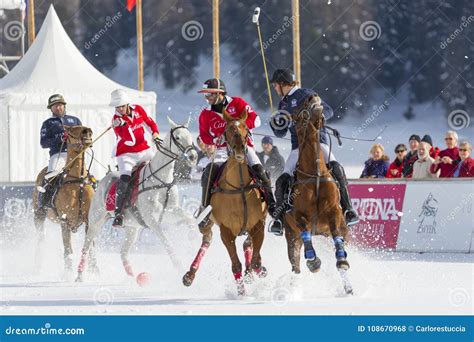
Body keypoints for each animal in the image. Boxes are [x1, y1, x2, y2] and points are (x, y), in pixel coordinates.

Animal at [32, 125, 97, 276]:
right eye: (72, 131)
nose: (87, 132)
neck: (78, 180)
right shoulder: (65, 221)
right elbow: (68, 251)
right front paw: (67, 275)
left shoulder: (89, 221)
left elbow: (89, 249)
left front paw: (94, 272)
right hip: (39, 215)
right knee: (40, 240)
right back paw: (37, 268)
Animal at [76, 116, 198, 282]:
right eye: (178, 137)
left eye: (190, 136)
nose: (193, 157)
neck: (161, 180)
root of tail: (102, 180)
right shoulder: (152, 219)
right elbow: (166, 242)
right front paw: (178, 266)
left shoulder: (170, 211)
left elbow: (190, 218)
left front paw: (193, 238)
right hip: (95, 221)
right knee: (86, 247)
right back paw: (79, 276)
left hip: (132, 228)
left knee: (123, 252)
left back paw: (135, 278)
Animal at [183, 110, 268, 296]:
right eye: (228, 130)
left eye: (246, 128)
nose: (240, 149)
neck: (240, 187)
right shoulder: (226, 232)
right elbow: (235, 264)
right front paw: (242, 294)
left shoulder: (258, 225)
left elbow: (255, 259)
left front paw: (256, 271)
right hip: (208, 221)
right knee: (206, 240)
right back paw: (190, 274)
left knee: (247, 245)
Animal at [282, 96, 352, 294]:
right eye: (297, 109)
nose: (312, 97)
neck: (315, 173)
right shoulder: (298, 216)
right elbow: (306, 233)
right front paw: (313, 261)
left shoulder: (334, 213)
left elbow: (338, 245)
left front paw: (342, 260)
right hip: (291, 236)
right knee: (295, 266)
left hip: (341, 231)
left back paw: (348, 287)